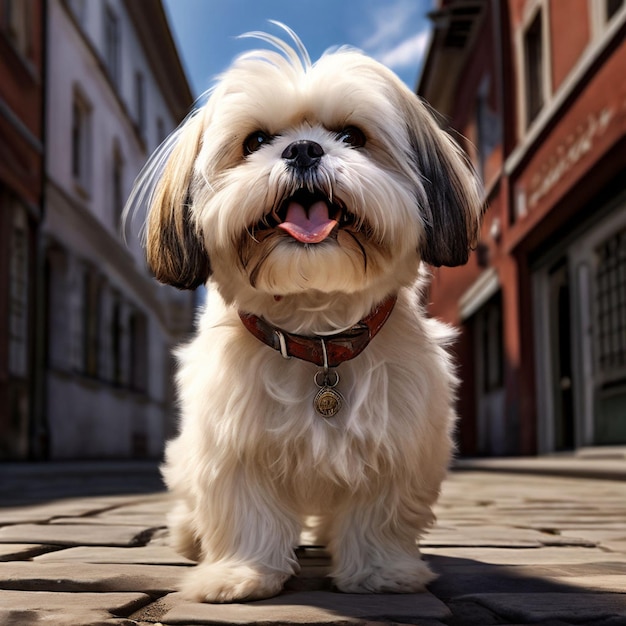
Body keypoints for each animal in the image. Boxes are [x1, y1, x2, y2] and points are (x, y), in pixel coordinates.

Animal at [125, 26, 478, 604]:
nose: (304, 148)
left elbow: (379, 516)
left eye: (353, 136)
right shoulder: (233, 446)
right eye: (255, 142)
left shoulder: (398, 446)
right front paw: (239, 575)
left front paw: (382, 573)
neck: (317, 332)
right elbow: (245, 513)